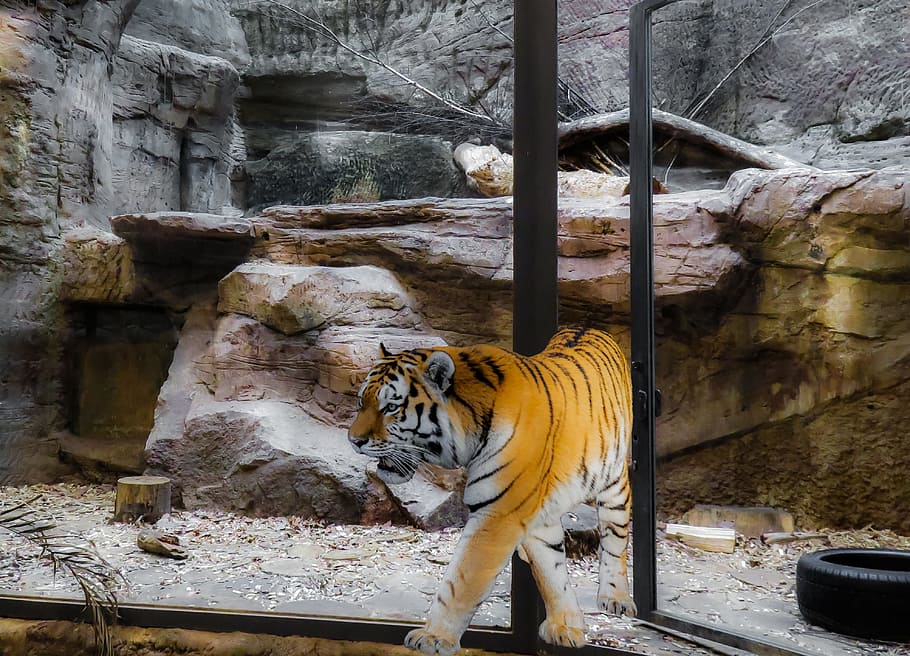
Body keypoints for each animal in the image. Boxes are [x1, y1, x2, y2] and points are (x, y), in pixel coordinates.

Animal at [348, 327, 635, 655]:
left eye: (391, 408)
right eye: (361, 402)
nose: (353, 440)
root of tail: (587, 327)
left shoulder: (499, 513)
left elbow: (461, 580)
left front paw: (433, 637)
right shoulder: (529, 513)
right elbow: (550, 572)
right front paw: (565, 626)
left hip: (614, 483)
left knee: (615, 540)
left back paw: (615, 598)